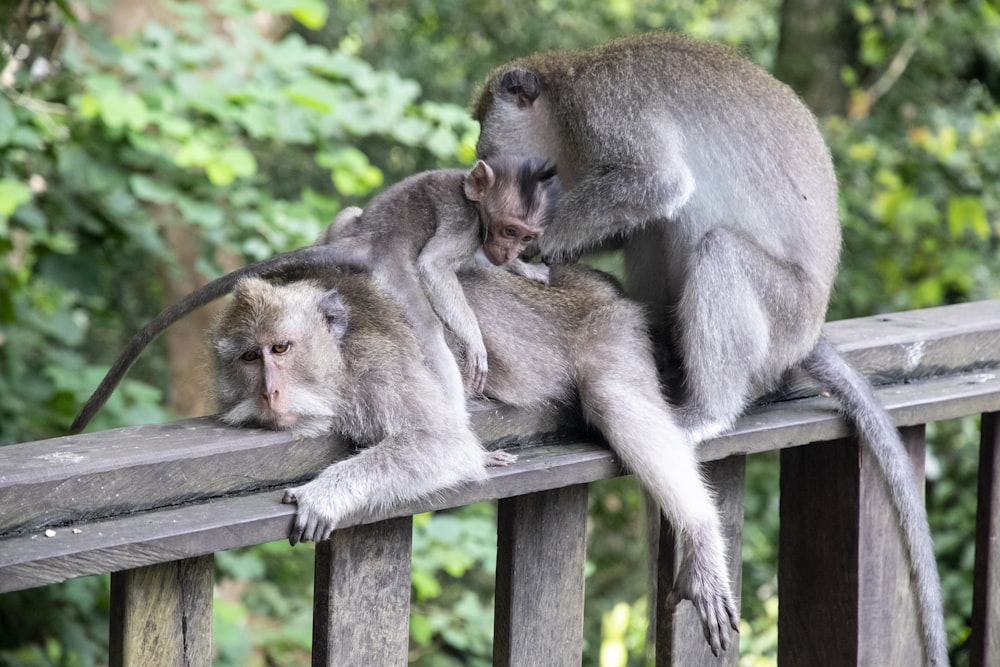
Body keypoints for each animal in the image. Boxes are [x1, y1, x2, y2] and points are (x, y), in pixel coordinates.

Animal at [207, 264, 740, 656]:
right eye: (249, 358)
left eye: (281, 348)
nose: (270, 393)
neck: (339, 356)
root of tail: (597, 284)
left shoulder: (381, 364)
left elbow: (444, 443)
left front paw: (323, 495)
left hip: (609, 331)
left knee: (617, 398)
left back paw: (700, 537)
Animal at [474, 30, 944, 664]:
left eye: (483, 124)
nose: (475, 154)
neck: (565, 103)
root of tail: (807, 335)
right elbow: (642, 213)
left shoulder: (605, 110)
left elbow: (654, 183)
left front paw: (534, 247)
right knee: (655, 230)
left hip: (780, 316)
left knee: (717, 247)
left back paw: (706, 411)